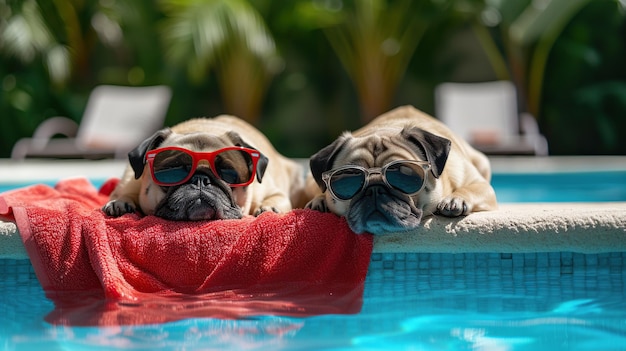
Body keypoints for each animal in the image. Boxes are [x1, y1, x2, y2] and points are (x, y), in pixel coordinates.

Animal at [103, 117, 304, 221]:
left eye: (228, 174)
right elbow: (122, 194)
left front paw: (268, 207)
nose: (200, 179)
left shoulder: (274, 191)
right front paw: (120, 202)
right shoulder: (129, 180)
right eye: (174, 171)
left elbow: (276, 198)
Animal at [304, 106, 494, 235]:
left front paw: (456, 199)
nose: (374, 189)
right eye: (349, 181)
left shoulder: (480, 185)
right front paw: (320, 200)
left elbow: (473, 188)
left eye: (404, 177)